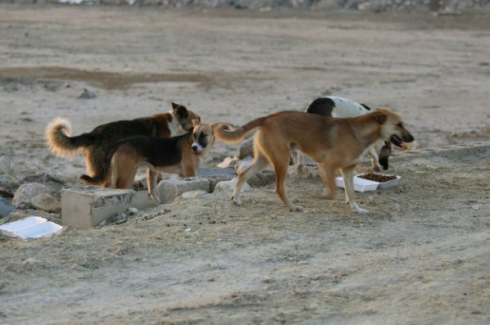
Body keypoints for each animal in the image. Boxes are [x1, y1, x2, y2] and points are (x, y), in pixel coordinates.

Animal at [80, 119, 214, 202]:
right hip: (126, 175)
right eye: (194, 135)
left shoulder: (181, 174)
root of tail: (121, 142)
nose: (194, 148)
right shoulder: (190, 172)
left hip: (129, 174)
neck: (190, 142)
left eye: (203, 135)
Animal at [215, 109, 414, 214]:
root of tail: (267, 118)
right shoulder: (327, 166)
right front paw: (320, 197)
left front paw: (357, 209)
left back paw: (236, 198)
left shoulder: (347, 170)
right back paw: (292, 207)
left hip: (263, 160)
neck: (359, 132)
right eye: (399, 124)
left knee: (242, 174)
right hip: (281, 161)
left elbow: (351, 193)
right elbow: (332, 193)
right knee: (278, 188)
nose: (412, 138)